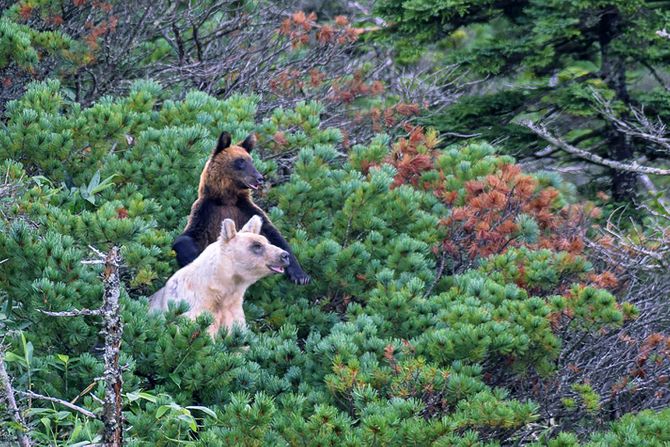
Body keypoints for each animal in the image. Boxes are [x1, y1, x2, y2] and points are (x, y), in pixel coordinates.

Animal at [172, 131, 312, 284]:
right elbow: (189, 236)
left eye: (251, 160)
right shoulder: (206, 210)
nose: (259, 178)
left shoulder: (246, 209)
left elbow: (273, 235)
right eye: (240, 161)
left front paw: (300, 275)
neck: (227, 198)